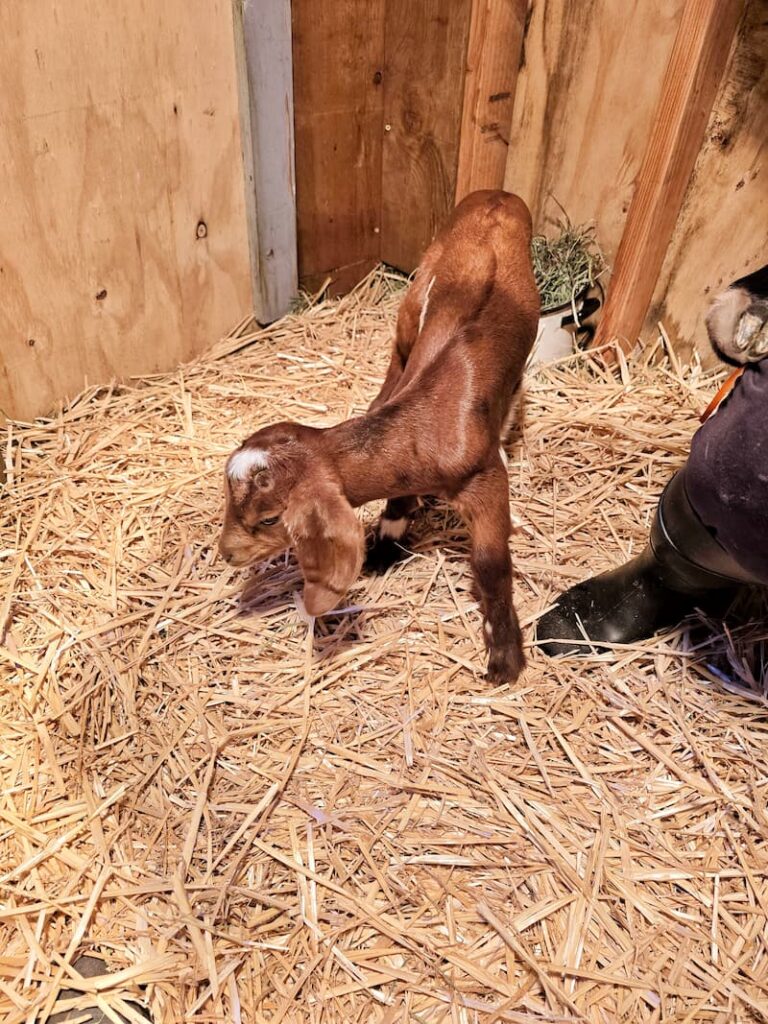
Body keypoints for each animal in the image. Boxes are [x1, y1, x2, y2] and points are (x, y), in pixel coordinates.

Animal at [218, 189, 540, 681]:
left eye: (270, 519)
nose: (226, 554)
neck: (427, 422)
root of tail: (498, 196)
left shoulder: (483, 483)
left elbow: (490, 563)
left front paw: (504, 656)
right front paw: (386, 545)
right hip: (416, 297)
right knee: (398, 356)